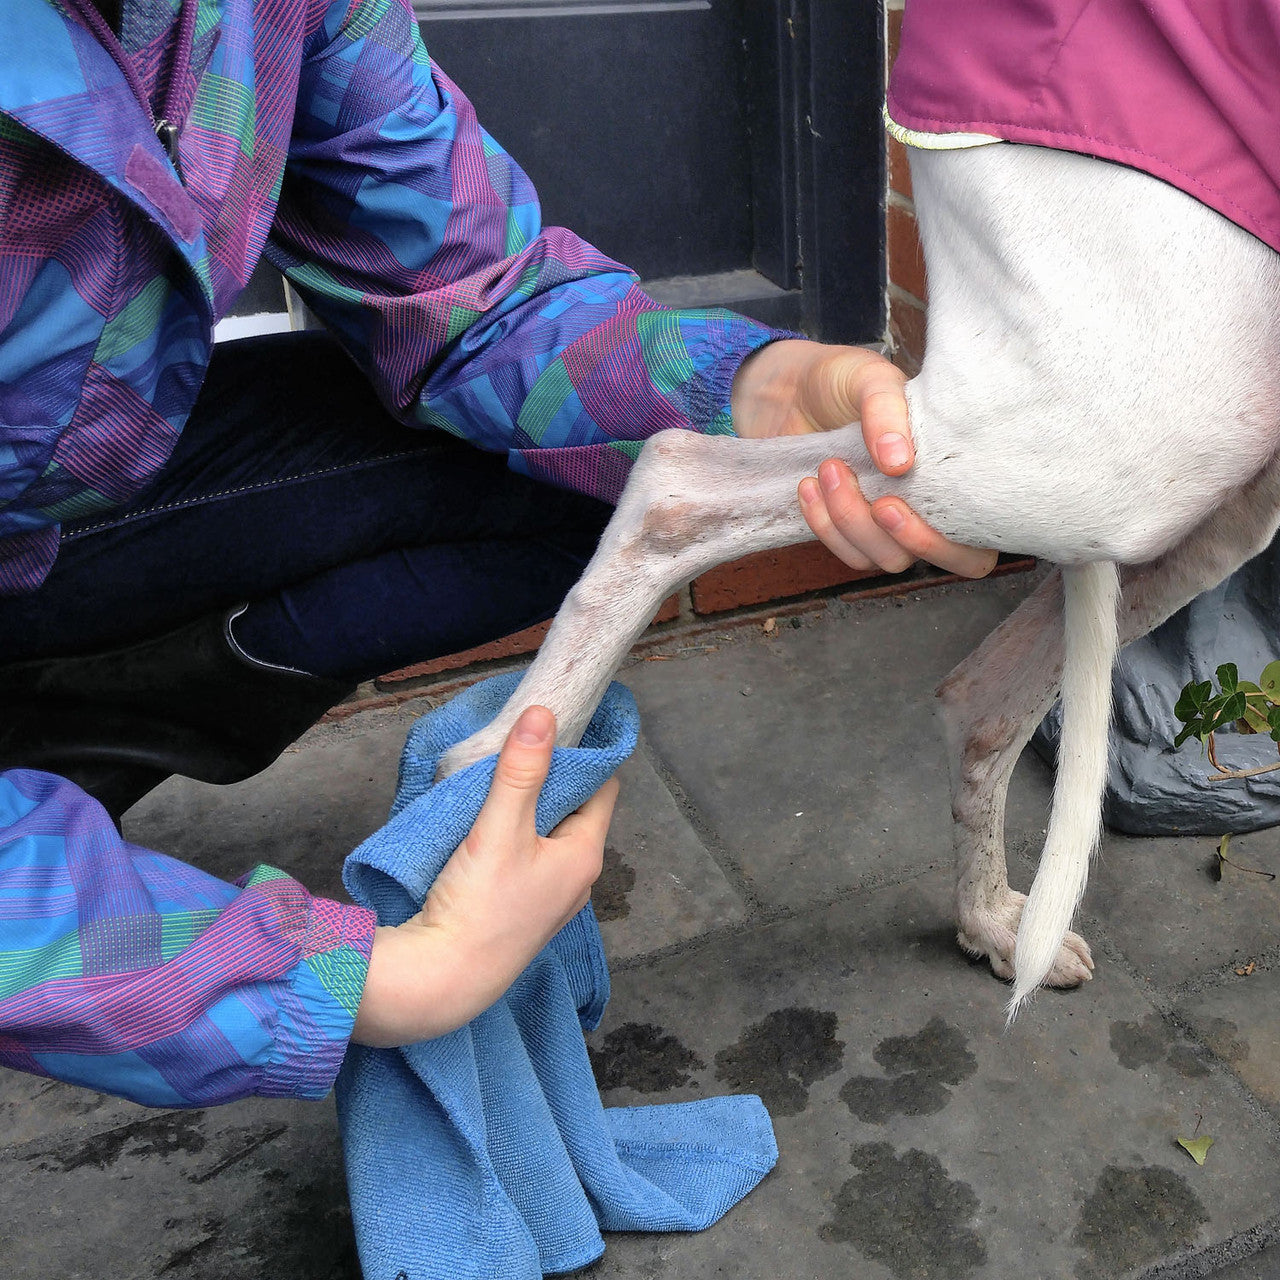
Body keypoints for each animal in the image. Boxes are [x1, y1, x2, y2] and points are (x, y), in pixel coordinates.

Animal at [437, 140, 1280, 1018]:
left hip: (1205, 499)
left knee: (982, 705)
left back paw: (990, 921)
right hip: (1137, 427)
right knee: (671, 480)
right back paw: (496, 797)